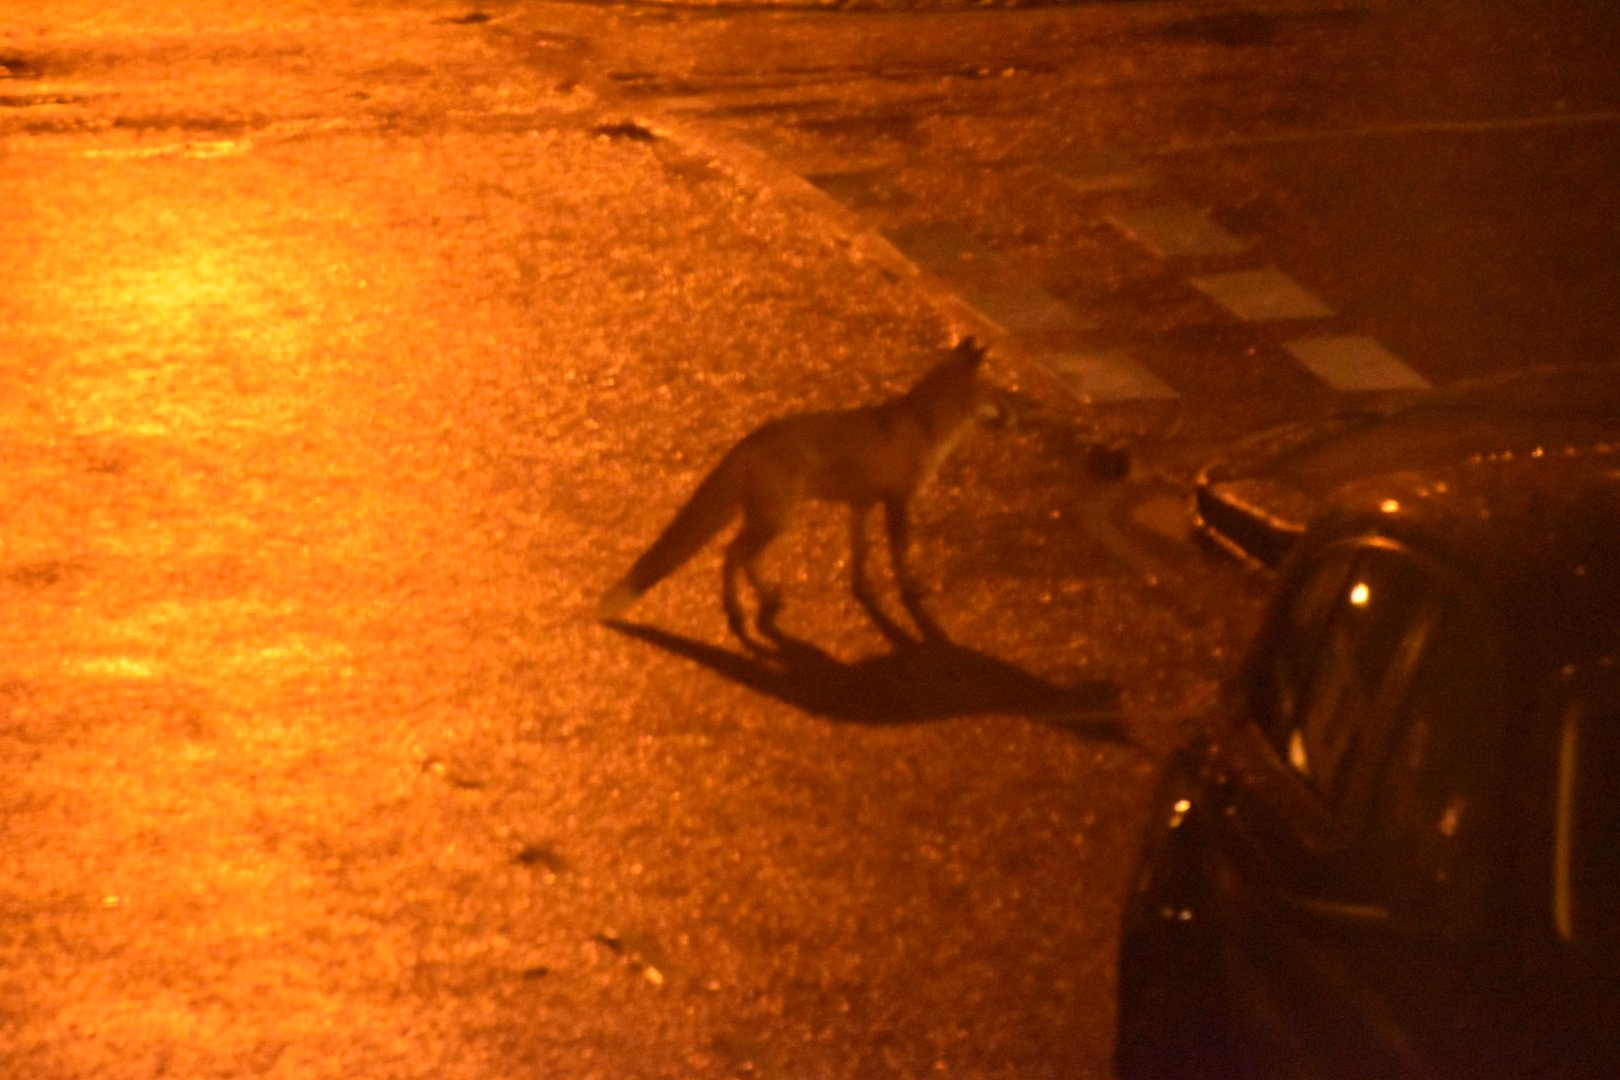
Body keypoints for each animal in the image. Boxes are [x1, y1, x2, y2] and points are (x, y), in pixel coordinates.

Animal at [596, 337, 1009, 646]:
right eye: (998, 395)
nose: (1013, 418)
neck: (925, 426)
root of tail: (747, 442)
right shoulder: (897, 500)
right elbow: (899, 554)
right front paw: (909, 590)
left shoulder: (861, 503)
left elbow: (861, 551)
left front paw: (862, 588)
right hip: (776, 519)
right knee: (732, 554)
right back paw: (739, 608)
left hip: (768, 519)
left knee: (739, 557)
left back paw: (759, 599)